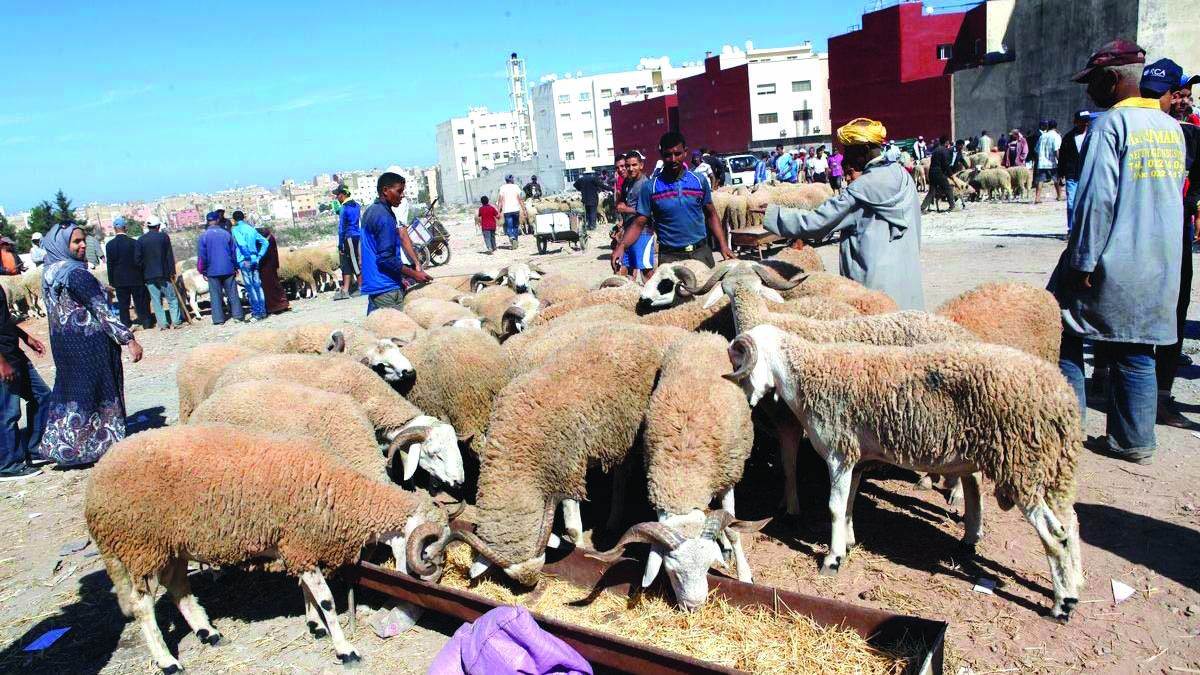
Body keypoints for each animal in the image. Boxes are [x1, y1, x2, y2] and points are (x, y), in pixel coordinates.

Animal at [83, 422, 451, 667]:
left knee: (178, 589)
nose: (427, 579)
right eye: (428, 548)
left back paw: (207, 632)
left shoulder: (298, 544)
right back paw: (166, 661)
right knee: (142, 605)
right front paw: (345, 648)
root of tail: (95, 481)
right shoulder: (300, 543)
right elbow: (327, 600)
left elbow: (307, 590)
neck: (339, 491)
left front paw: (314, 625)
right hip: (140, 545)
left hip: (171, 546)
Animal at [590, 331, 768, 610]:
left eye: (707, 567)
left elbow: (734, 529)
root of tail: (705, 335)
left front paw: (744, 575)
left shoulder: (728, 476)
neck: (683, 478)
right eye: (671, 571)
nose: (694, 607)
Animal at [724, 324, 1084, 619]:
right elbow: (850, 504)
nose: (743, 406)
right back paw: (1074, 584)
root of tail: (1062, 395)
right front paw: (849, 543)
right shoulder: (857, 459)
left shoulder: (840, 452)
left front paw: (832, 559)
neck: (806, 376)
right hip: (1050, 466)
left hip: (1023, 464)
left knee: (1054, 535)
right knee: (1070, 523)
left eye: (737, 363)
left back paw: (1061, 605)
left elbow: (835, 507)